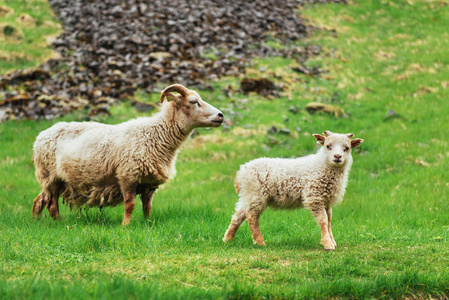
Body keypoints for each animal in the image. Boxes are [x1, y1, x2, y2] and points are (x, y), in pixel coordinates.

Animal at [30, 83, 223, 224]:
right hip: (51, 176)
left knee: (40, 199)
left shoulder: (149, 183)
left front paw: (147, 224)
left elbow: (147, 207)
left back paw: (37, 221)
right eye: (193, 101)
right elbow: (129, 205)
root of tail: (41, 135)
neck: (156, 135)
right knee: (51, 204)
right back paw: (59, 223)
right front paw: (125, 226)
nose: (221, 115)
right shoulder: (128, 176)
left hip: (55, 180)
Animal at [222, 131, 362, 251]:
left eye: (347, 148)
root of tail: (241, 171)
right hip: (256, 194)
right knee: (251, 216)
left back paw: (228, 239)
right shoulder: (314, 197)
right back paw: (260, 242)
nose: (337, 156)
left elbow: (329, 221)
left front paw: (332, 241)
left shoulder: (326, 200)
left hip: (248, 196)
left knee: (238, 215)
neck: (321, 165)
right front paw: (328, 244)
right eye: (328, 146)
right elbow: (323, 221)